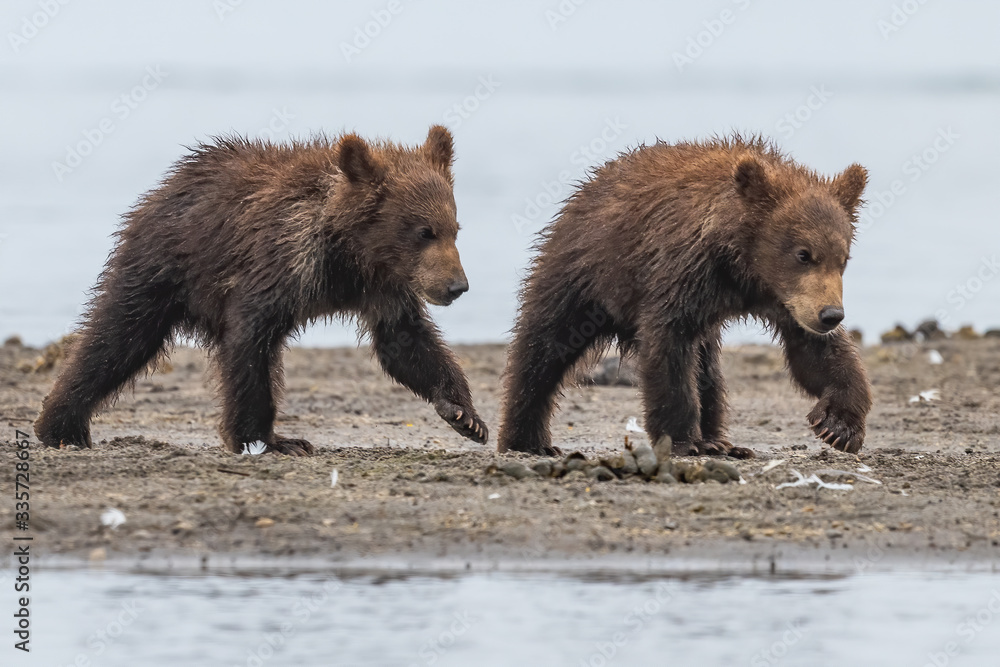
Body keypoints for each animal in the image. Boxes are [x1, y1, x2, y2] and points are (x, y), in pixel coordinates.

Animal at [34, 126, 489, 455]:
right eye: (423, 231)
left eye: (454, 228)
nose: (457, 286)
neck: (349, 255)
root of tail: (163, 188)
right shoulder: (281, 260)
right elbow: (251, 340)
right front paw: (270, 439)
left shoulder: (384, 289)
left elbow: (406, 342)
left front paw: (466, 416)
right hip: (161, 267)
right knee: (119, 337)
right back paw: (61, 427)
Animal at [498, 135, 873, 459]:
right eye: (803, 254)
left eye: (843, 257)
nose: (830, 315)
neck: (741, 267)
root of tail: (585, 189)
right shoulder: (682, 272)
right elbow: (669, 349)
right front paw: (682, 440)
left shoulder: (787, 300)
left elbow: (817, 353)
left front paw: (839, 426)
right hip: (585, 272)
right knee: (544, 344)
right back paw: (526, 439)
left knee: (708, 372)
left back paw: (721, 441)